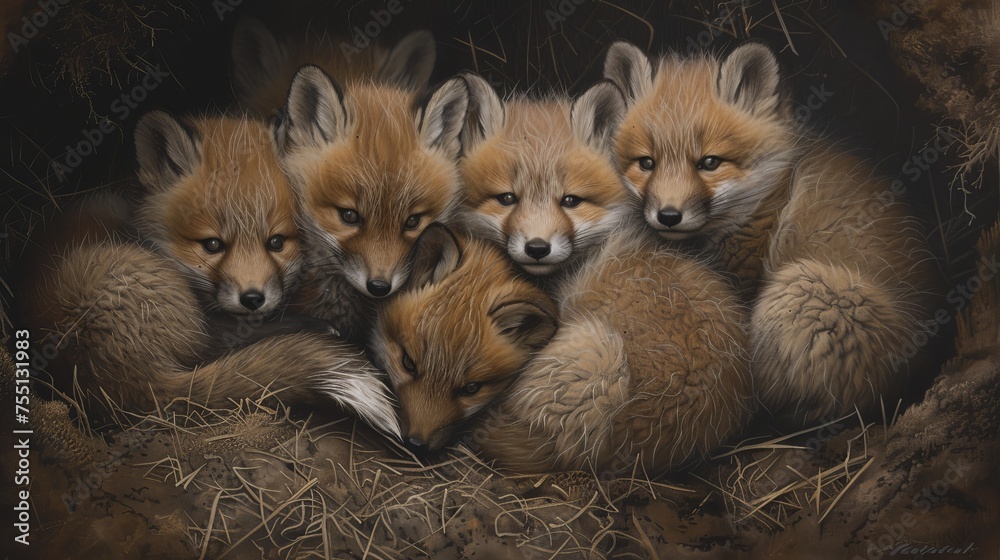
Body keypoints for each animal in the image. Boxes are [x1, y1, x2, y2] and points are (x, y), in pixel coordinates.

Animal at [603, 41, 940, 424]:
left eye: (710, 162)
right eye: (646, 163)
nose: (669, 216)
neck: (773, 190)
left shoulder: (748, 274)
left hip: (806, 289)